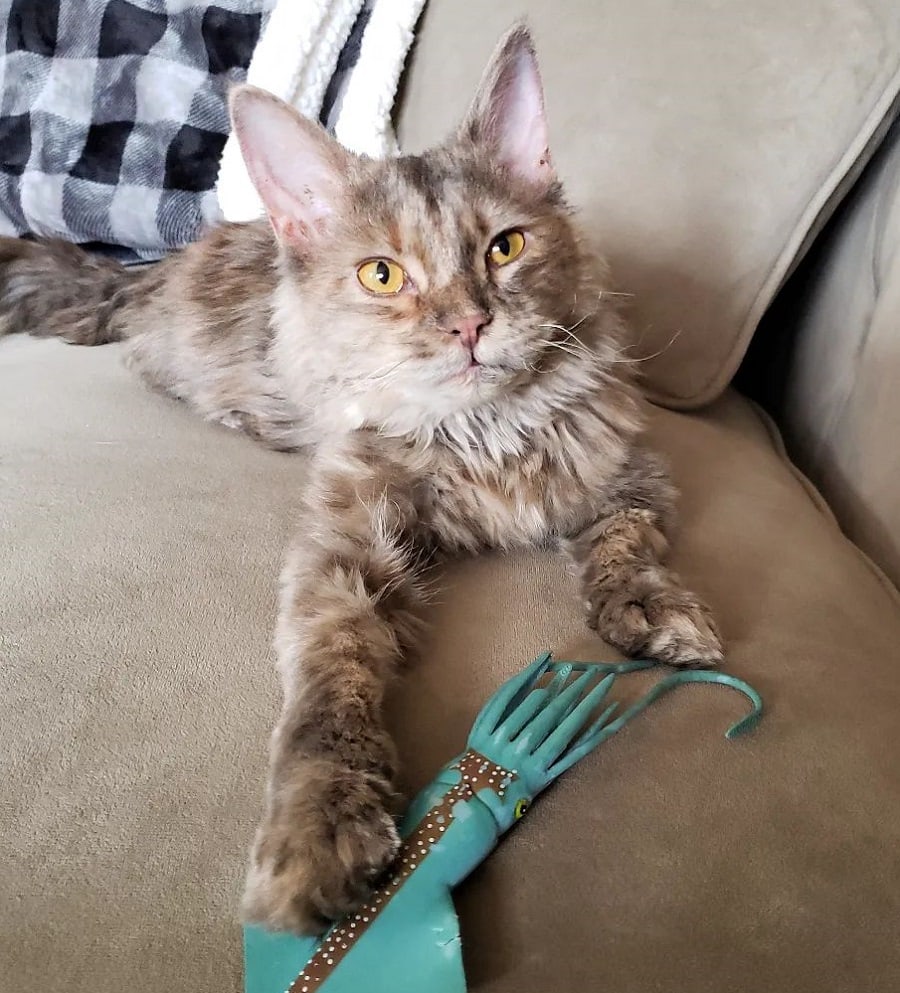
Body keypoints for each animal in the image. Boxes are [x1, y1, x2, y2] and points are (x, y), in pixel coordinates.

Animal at [0, 27, 720, 932]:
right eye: (383, 275)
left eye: (506, 247)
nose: (470, 324)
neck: (484, 434)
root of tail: (161, 264)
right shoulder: (348, 539)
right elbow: (330, 677)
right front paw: (322, 823)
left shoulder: (625, 469)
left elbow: (627, 544)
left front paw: (654, 609)